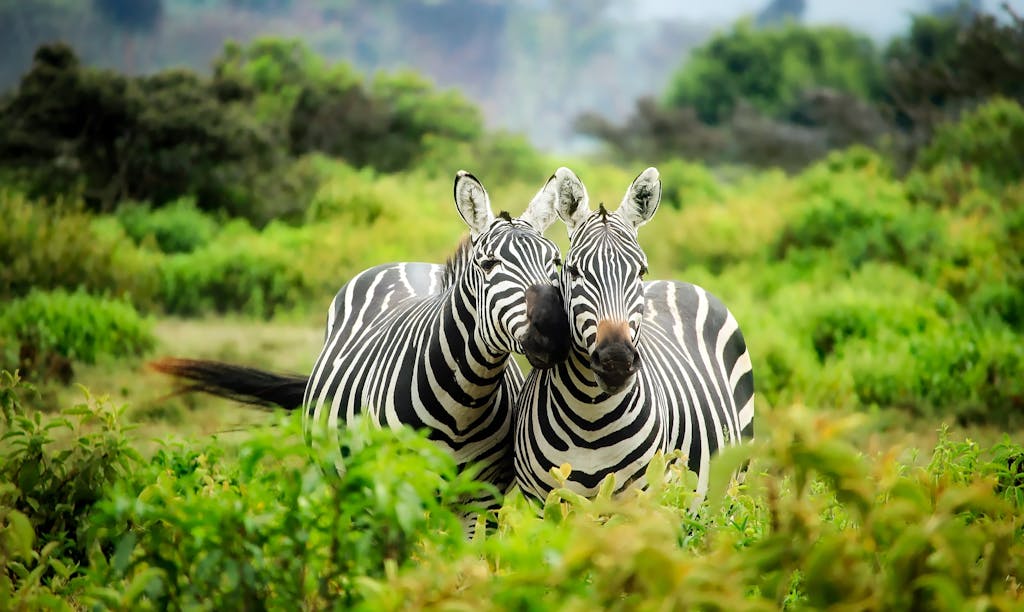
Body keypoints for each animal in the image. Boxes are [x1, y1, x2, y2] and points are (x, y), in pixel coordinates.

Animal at [153, 169, 572, 501]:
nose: (553, 330)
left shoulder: (482, 498)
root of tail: (406, 263)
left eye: (555, 261)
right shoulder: (395, 487)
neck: (464, 401)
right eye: (488, 265)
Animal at [512, 167, 755, 503]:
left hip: (732, 484)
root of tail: (678, 282)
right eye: (573, 271)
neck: (590, 418)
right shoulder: (542, 502)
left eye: (640, 271)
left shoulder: (640, 499)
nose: (616, 360)